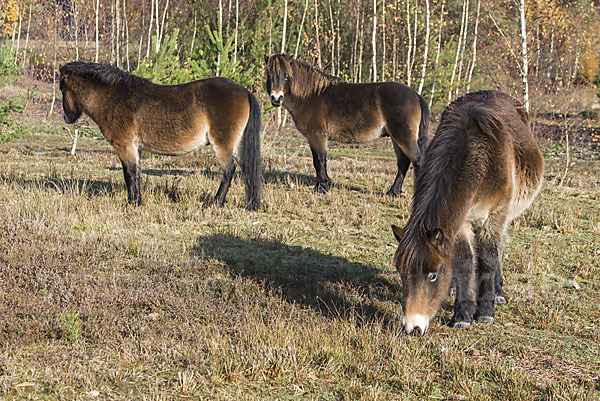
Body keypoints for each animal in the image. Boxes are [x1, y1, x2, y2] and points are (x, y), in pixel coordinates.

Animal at [59, 61, 262, 211]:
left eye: (62, 88)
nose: (65, 117)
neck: (114, 97)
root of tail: (244, 91)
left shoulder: (124, 146)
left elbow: (129, 174)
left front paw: (132, 203)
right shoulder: (135, 148)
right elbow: (136, 174)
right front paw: (137, 201)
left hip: (222, 145)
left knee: (228, 171)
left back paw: (215, 203)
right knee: (246, 170)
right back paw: (249, 204)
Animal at [264, 54, 428, 195]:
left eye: (286, 76)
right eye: (269, 75)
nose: (276, 98)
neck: (311, 95)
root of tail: (415, 95)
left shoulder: (316, 135)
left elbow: (319, 160)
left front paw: (321, 187)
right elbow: (320, 160)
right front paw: (325, 184)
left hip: (402, 136)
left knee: (417, 162)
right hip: (396, 138)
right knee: (403, 163)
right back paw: (393, 192)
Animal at [392, 90, 548, 334]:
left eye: (433, 275)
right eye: (401, 272)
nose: (412, 327)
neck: (480, 155)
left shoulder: (494, 216)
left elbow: (487, 260)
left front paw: (485, 311)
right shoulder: (460, 223)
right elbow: (464, 262)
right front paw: (463, 314)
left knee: (498, 250)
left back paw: (498, 293)